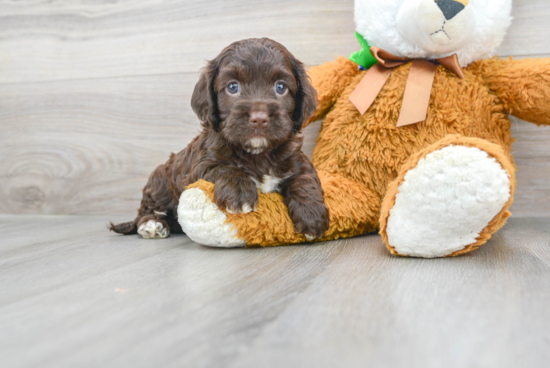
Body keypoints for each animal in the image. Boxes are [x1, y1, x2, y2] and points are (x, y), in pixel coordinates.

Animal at [110, 38, 330, 239]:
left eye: (281, 88)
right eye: (233, 87)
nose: (259, 118)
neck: (258, 153)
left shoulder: (298, 161)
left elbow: (305, 178)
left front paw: (312, 215)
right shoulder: (198, 167)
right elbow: (223, 168)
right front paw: (240, 192)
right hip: (159, 181)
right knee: (147, 210)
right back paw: (152, 224)